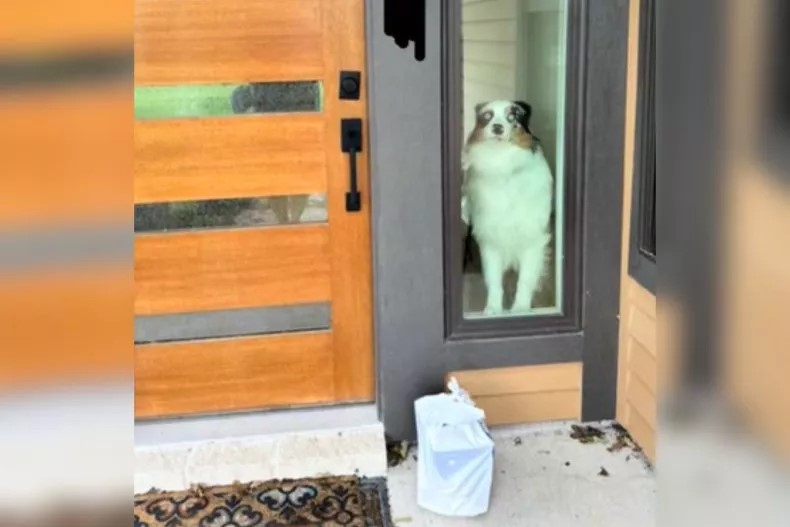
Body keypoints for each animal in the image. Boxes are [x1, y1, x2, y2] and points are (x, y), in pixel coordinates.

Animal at [460, 100, 552, 314]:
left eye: (513, 115)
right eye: (487, 115)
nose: (497, 127)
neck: (502, 165)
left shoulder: (534, 239)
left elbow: (525, 280)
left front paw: (521, 309)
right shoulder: (489, 241)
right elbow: (493, 281)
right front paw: (492, 310)